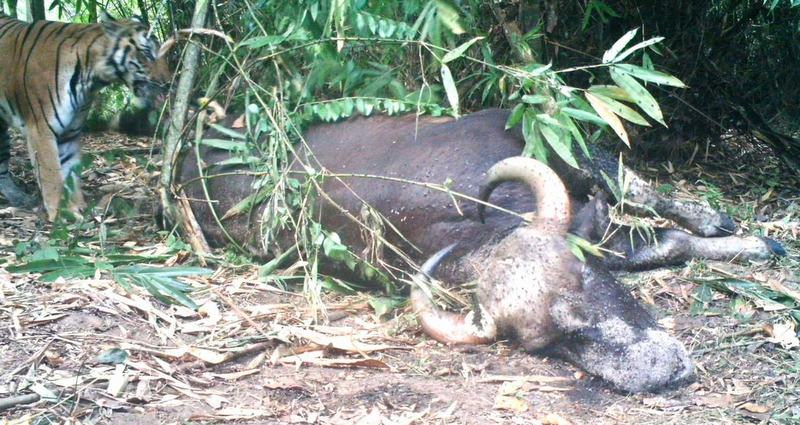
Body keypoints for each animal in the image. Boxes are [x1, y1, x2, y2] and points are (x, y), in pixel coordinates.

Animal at [0, 11, 171, 221]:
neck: (92, 78)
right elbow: (51, 175)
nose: (168, 82)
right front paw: (62, 214)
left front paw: (78, 206)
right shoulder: (41, 131)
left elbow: (70, 172)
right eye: (146, 54)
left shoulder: (69, 133)